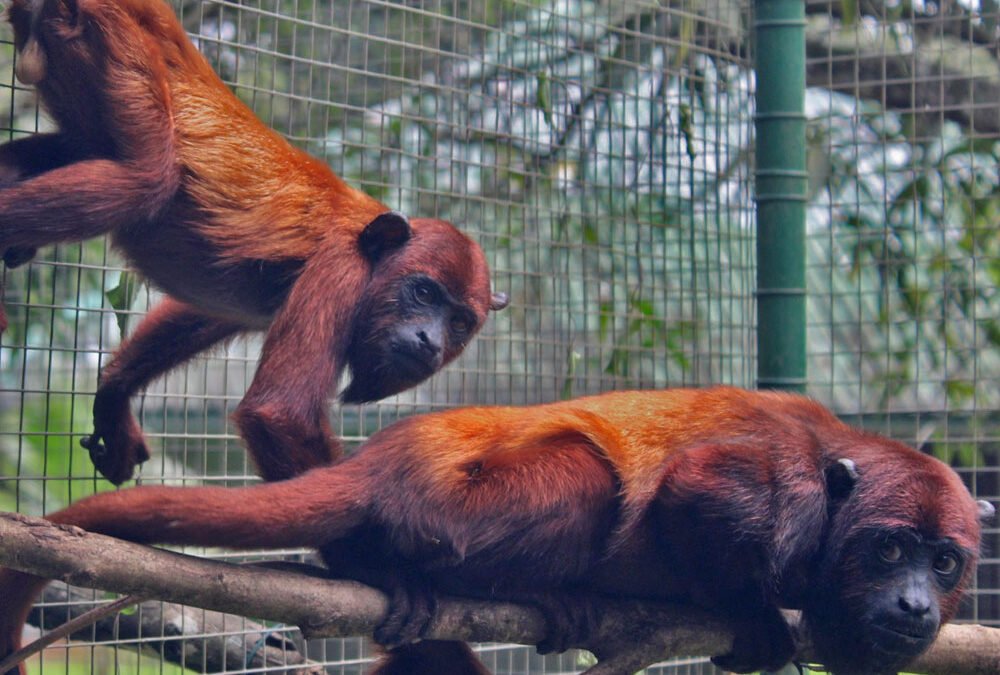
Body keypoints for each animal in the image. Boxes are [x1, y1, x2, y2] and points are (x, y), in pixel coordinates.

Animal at [0, 0, 508, 486]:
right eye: (423, 292)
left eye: (459, 323)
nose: (429, 341)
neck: (373, 246)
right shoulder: (340, 269)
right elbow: (278, 414)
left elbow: (204, 312)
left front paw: (113, 395)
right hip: (113, 38)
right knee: (144, 179)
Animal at [0, 386, 988, 675]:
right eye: (888, 548)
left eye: (944, 563)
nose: (913, 601)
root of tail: (387, 454)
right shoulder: (788, 487)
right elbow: (699, 490)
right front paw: (755, 620)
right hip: (461, 496)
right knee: (590, 472)